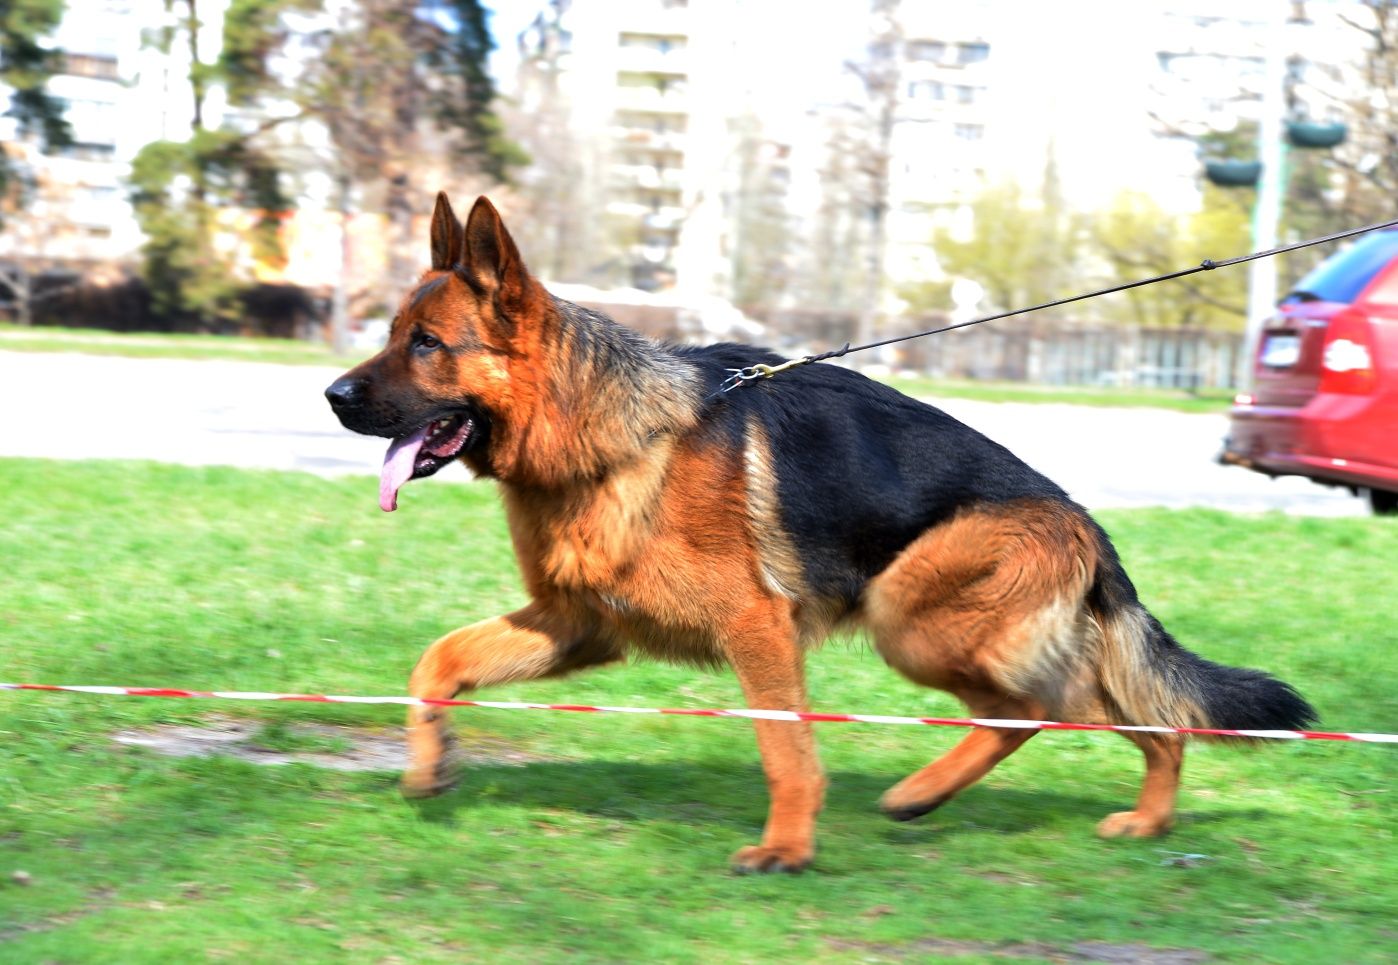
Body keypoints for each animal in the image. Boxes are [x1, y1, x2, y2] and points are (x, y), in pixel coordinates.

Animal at [324, 195, 1308, 872]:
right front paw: (428, 765)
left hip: (911, 615)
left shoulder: (756, 628)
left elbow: (785, 746)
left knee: (1044, 705)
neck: (614, 432)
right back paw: (1134, 818)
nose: (331, 396)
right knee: (1132, 716)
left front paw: (788, 848)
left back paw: (931, 791)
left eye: (426, 344)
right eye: (392, 334)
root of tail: (1087, 524)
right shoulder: (580, 625)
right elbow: (440, 659)